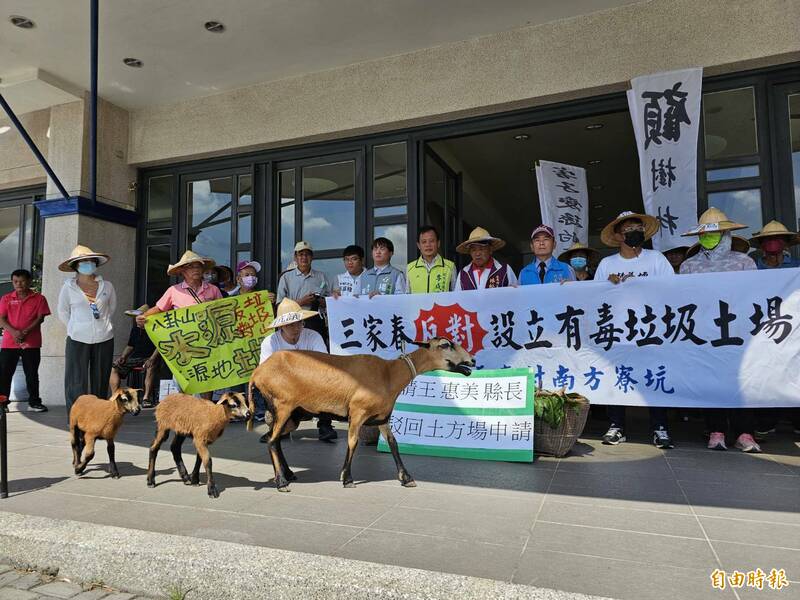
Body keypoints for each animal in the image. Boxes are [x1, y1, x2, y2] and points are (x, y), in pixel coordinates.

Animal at [250, 338, 476, 492]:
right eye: (445, 345)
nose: (472, 361)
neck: (390, 374)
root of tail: (257, 373)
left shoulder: (382, 417)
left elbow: (393, 444)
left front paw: (406, 478)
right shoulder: (357, 412)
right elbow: (353, 442)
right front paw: (347, 478)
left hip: (292, 415)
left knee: (275, 439)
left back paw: (288, 474)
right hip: (283, 405)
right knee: (272, 441)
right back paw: (281, 482)